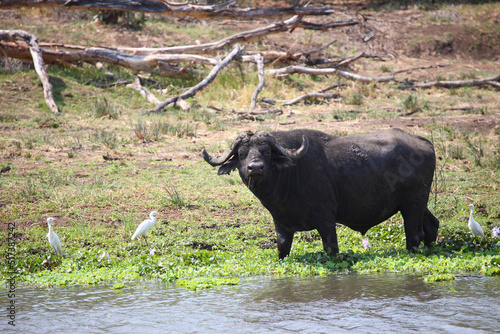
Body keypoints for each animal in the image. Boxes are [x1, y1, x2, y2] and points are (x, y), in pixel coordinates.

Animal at [201, 129, 440, 260]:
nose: (256, 168)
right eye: (242, 154)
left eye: (266, 152)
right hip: (418, 203)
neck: (289, 177)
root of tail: (424, 142)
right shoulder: (282, 226)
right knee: (432, 225)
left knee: (414, 235)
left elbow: (331, 248)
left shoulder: (326, 221)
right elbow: (282, 250)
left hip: (413, 203)